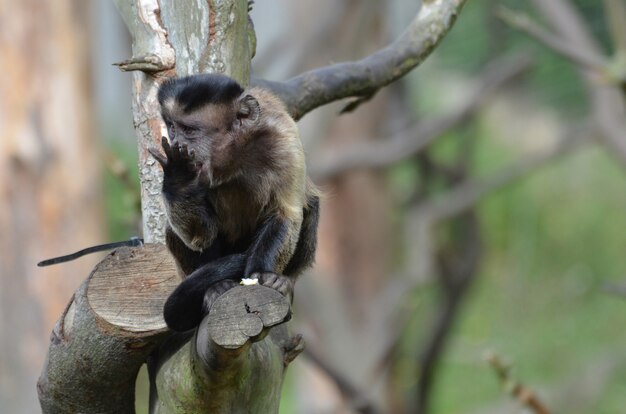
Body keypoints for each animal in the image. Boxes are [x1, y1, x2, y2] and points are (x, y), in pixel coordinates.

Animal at [149, 73, 320, 334]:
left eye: (188, 130)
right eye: (172, 127)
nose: (176, 140)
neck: (234, 157)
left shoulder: (283, 138)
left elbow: (286, 213)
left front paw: (262, 277)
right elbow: (200, 236)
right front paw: (178, 177)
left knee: (309, 206)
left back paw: (285, 281)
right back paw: (214, 288)